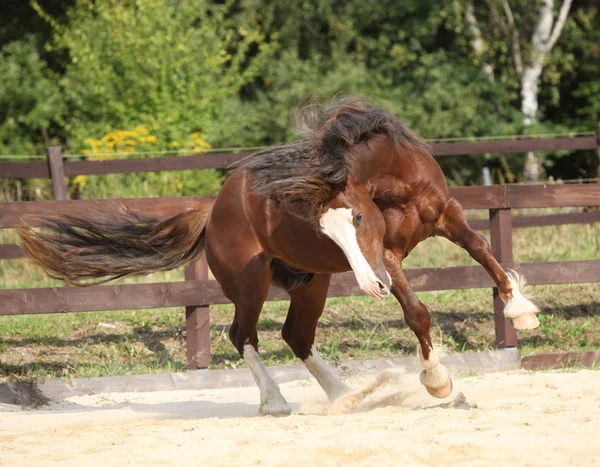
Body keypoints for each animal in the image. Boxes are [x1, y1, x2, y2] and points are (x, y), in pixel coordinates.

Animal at [18, 148, 392, 414]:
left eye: (359, 218)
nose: (374, 284)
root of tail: (210, 214)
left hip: (309, 283)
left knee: (296, 334)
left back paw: (350, 394)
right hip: (252, 285)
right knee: (243, 335)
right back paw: (276, 401)